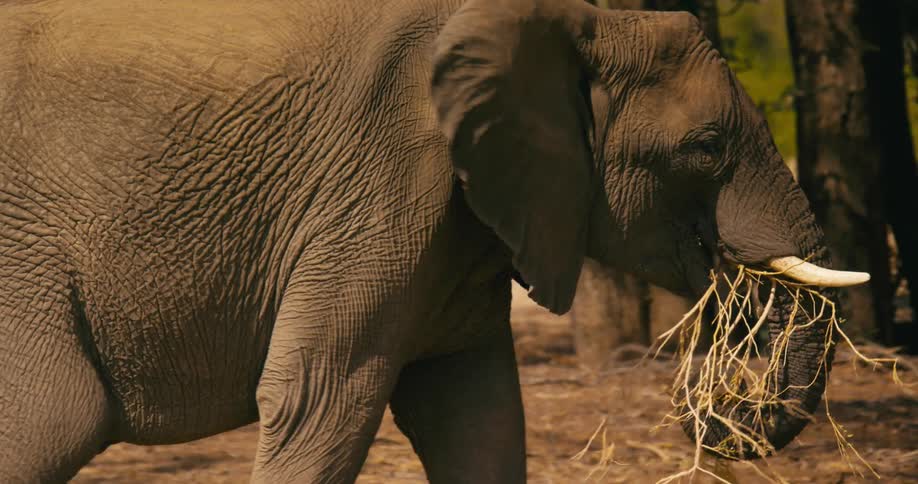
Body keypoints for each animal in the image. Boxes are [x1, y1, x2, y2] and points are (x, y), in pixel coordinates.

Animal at [0, 0, 870, 482]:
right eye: (707, 146)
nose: (713, 414)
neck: (576, 20)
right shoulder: (382, 176)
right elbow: (319, 397)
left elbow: (478, 414)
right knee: (52, 423)